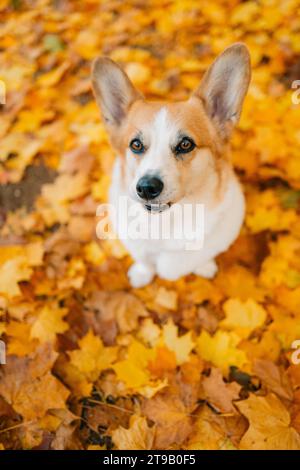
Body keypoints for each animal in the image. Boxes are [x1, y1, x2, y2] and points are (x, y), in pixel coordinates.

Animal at [91, 43, 251, 286]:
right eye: (136, 144)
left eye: (186, 144)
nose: (146, 187)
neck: (168, 222)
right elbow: (145, 261)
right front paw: (142, 274)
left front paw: (204, 266)